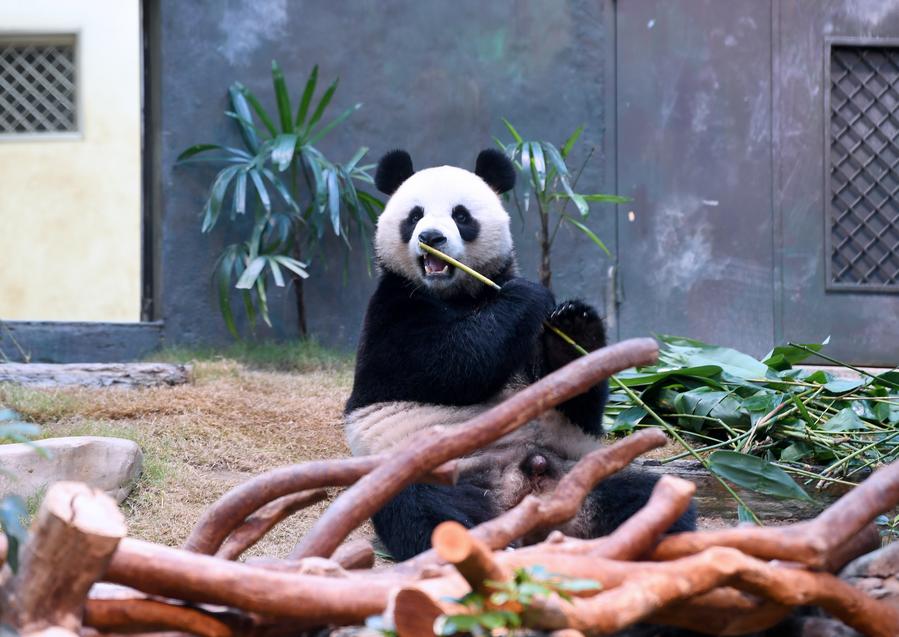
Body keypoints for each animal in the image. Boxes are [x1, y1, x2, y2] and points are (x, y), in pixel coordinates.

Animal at [344, 148, 696, 562]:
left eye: (461, 216)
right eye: (414, 216)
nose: (431, 237)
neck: (459, 292)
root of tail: (525, 498)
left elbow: (575, 402)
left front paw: (574, 327)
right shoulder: (390, 310)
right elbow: (443, 364)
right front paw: (527, 294)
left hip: (583, 473)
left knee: (647, 493)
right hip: (434, 470)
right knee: (427, 511)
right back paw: (485, 545)